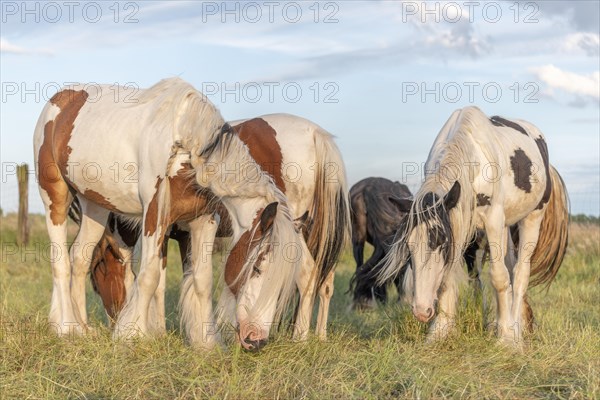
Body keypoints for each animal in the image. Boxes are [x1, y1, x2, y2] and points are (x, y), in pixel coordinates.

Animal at [378, 107, 568, 350]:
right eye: (408, 249)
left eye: (440, 242)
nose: (421, 311)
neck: (474, 158)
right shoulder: (459, 221)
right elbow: (450, 277)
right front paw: (440, 331)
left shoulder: (492, 219)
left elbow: (499, 277)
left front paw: (507, 339)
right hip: (504, 226)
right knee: (510, 266)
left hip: (532, 218)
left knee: (519, 273)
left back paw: (515, 329)